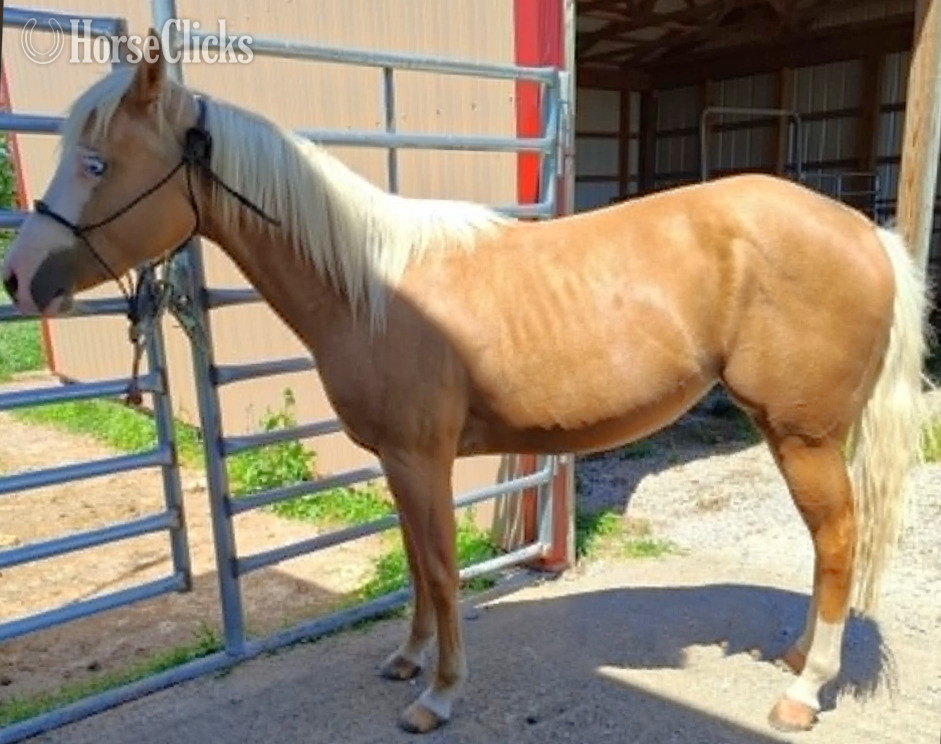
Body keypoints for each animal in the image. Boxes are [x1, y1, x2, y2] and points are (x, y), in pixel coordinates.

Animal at [2, 37, 928, 736]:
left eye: (96, 162)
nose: (19, 278)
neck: (370, 287)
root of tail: (863, 231)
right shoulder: (397, 462)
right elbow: (416, 566)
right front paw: (407, 660)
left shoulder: (423, 459)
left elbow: (446, 572)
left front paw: (437, 696)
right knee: (828, 544)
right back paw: (799, 658)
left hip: (802, 436)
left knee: (837, 541)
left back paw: (802, 690)